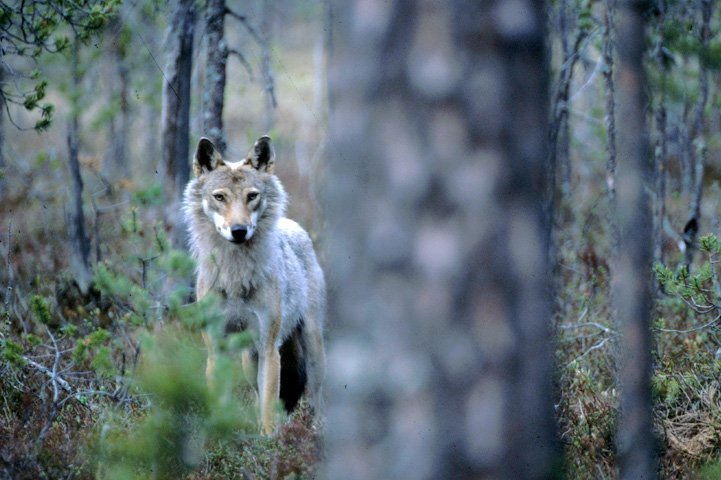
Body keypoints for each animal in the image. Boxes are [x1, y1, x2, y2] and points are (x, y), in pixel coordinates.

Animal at [183, 135, 326, 436]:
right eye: (220, 197)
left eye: (252, 196)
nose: (239, 231)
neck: (236, 277)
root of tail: (293, 224)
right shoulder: (217, 348)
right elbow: (223, 400)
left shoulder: (269, 347)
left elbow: (269, 408)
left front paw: (268, 440)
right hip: (249, 361)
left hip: (312, 347)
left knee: (317, 394)